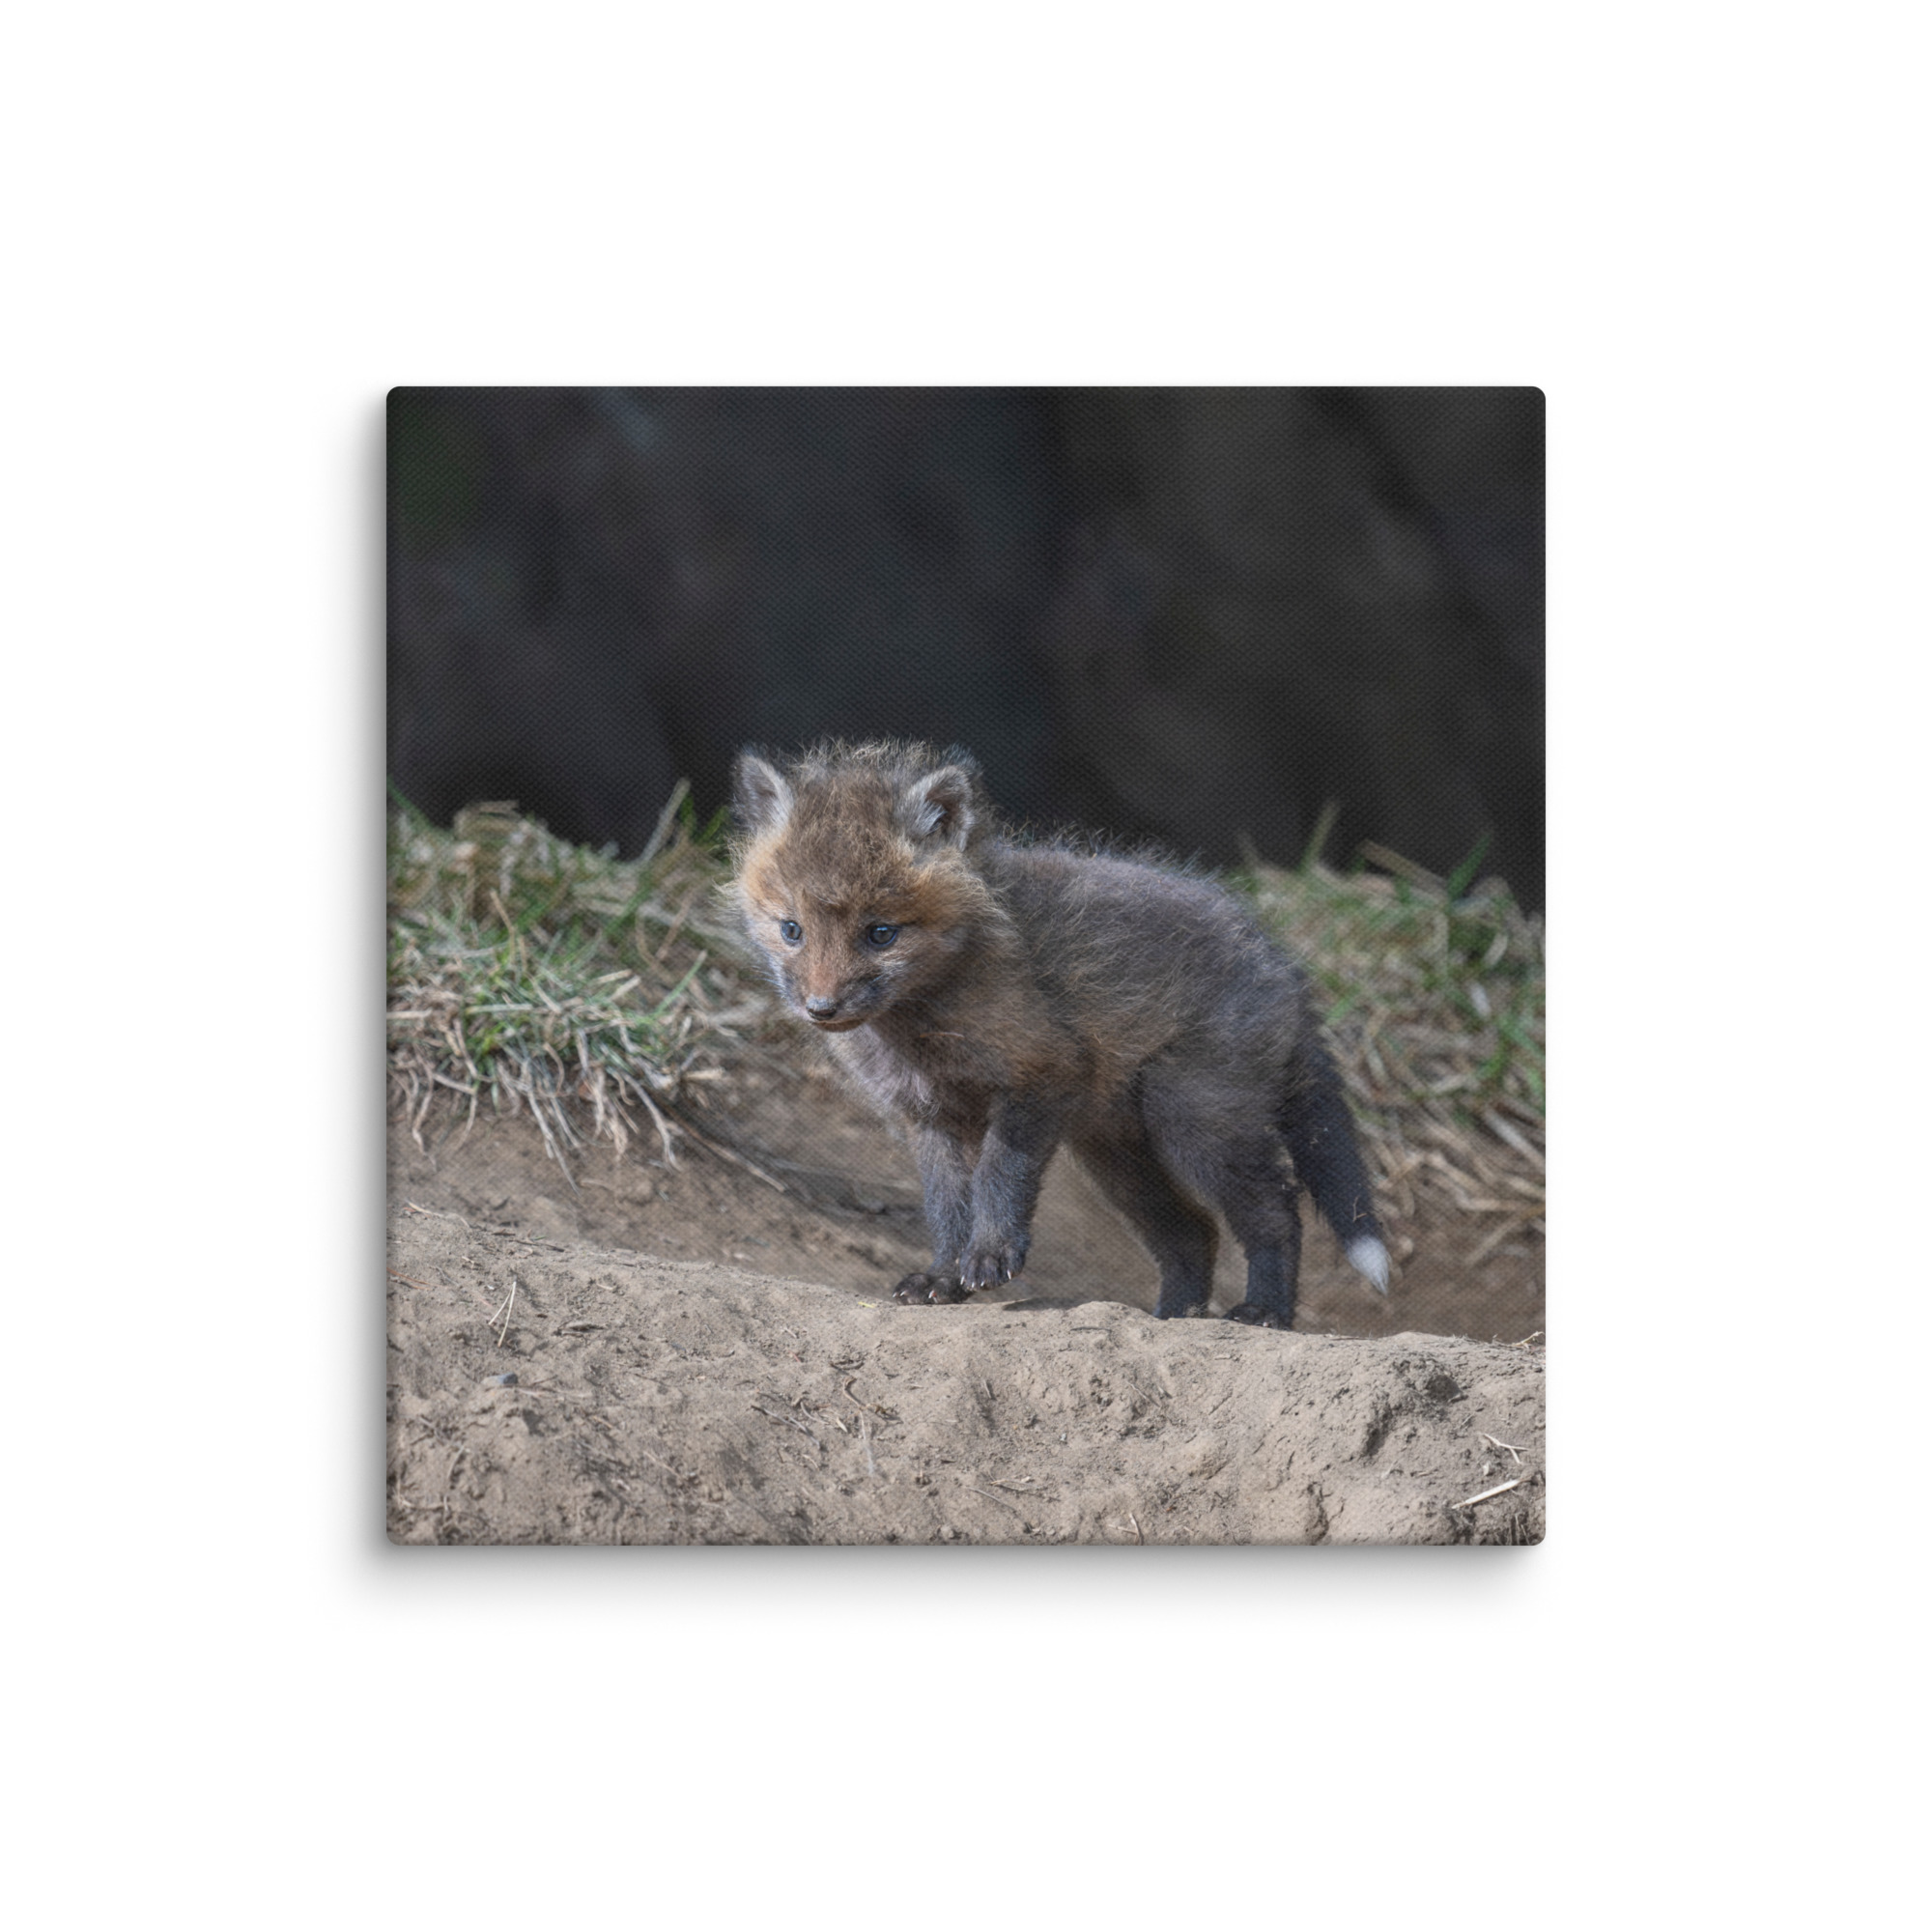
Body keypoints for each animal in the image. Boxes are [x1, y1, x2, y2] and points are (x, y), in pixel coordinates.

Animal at [728, 739, 1391, 1329]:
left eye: (881, 933)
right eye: (791, 929)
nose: (821, 1008)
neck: (921, 1029)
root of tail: (1282, 964)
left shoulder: (1043, 1073)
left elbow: (999, 1175)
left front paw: (991, 1255)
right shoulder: (931, 1116)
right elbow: (946, 1207)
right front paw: (943, 1277)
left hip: (1195, 1122)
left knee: (1276, 1210)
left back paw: (1265, 1312)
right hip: (1117, 1155)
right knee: (1193, 1232)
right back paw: (1173, 1317)